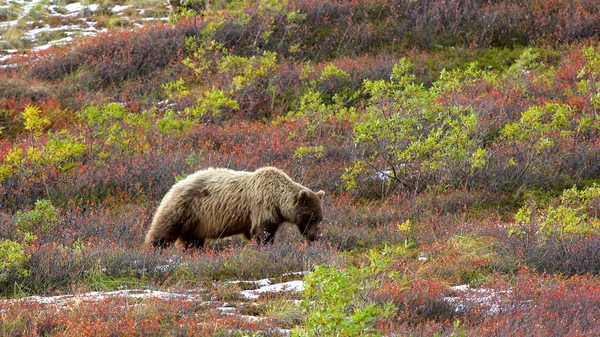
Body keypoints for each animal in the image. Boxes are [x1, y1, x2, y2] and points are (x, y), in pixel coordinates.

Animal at [144, 165, 326, 247]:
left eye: (320, 218)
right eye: (311, 217)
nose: (314, 237)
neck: (278, 202)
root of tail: (175, 185)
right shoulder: (262, 208)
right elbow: (263, 233)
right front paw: (266, 246)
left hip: (194, 222)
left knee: (192, 241)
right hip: (183, 209)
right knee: (163, 232)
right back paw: (153, 249)